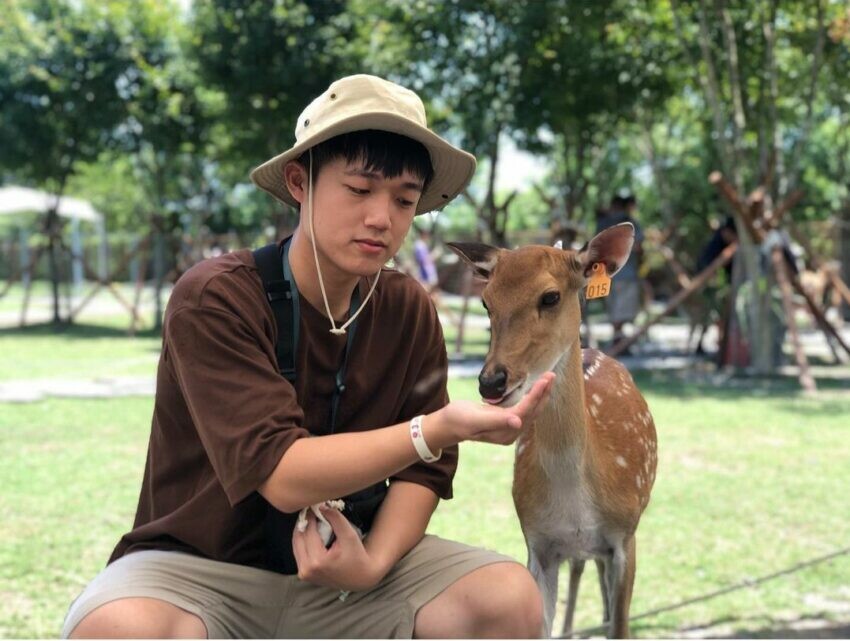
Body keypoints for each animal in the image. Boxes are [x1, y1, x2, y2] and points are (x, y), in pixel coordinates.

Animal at [449, 222, 657, 639]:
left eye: (550, 296)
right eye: (486, 302)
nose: (491, 382)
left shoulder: (626, 535)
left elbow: (620, 626)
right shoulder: (538, 542)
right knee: (580, 566)